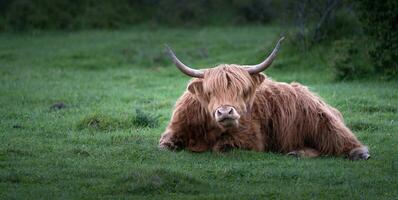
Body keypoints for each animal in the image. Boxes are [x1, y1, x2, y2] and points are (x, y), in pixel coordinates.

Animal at [159, 36, 370, 160]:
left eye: (242, 90)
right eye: (210, 92)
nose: (226, 111)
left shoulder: (251, 140)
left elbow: (220, 147)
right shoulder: (175, 129)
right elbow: (164, 145)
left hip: (322, 121)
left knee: (339, 140)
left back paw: (358, 153)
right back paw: (296, 152)